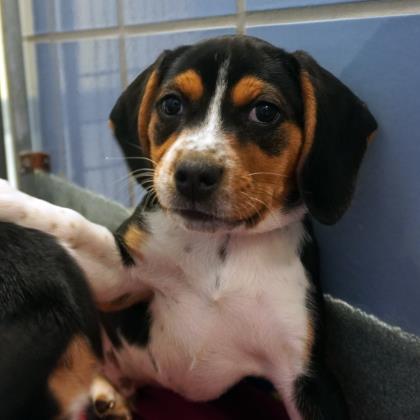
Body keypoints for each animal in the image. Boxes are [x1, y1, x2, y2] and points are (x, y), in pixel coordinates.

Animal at [0, 35, 377, 419]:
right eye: (171, 104)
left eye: (265, 111)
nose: (194, 173)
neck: (222, 247)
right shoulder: (121, 279)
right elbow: (71, 223)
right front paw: (8, 195)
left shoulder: (305, 375)